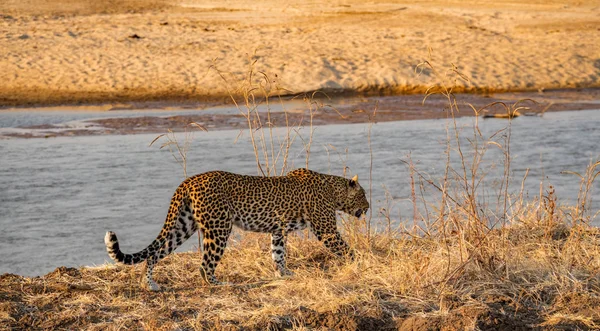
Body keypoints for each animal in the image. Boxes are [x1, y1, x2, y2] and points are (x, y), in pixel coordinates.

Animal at [105, 169, 368, 290]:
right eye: (363, 195)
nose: (368, 207)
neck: (333, 190)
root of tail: (189, 181)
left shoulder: (277, 231)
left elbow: (278, 254)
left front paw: (284, 274)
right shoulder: (326, 229)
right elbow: (347, 250)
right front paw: (362, 263)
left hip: (183, 225)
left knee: (155, 253)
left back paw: (148, 284)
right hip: (219, 227)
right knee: (205, 264)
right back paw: (218, 284)